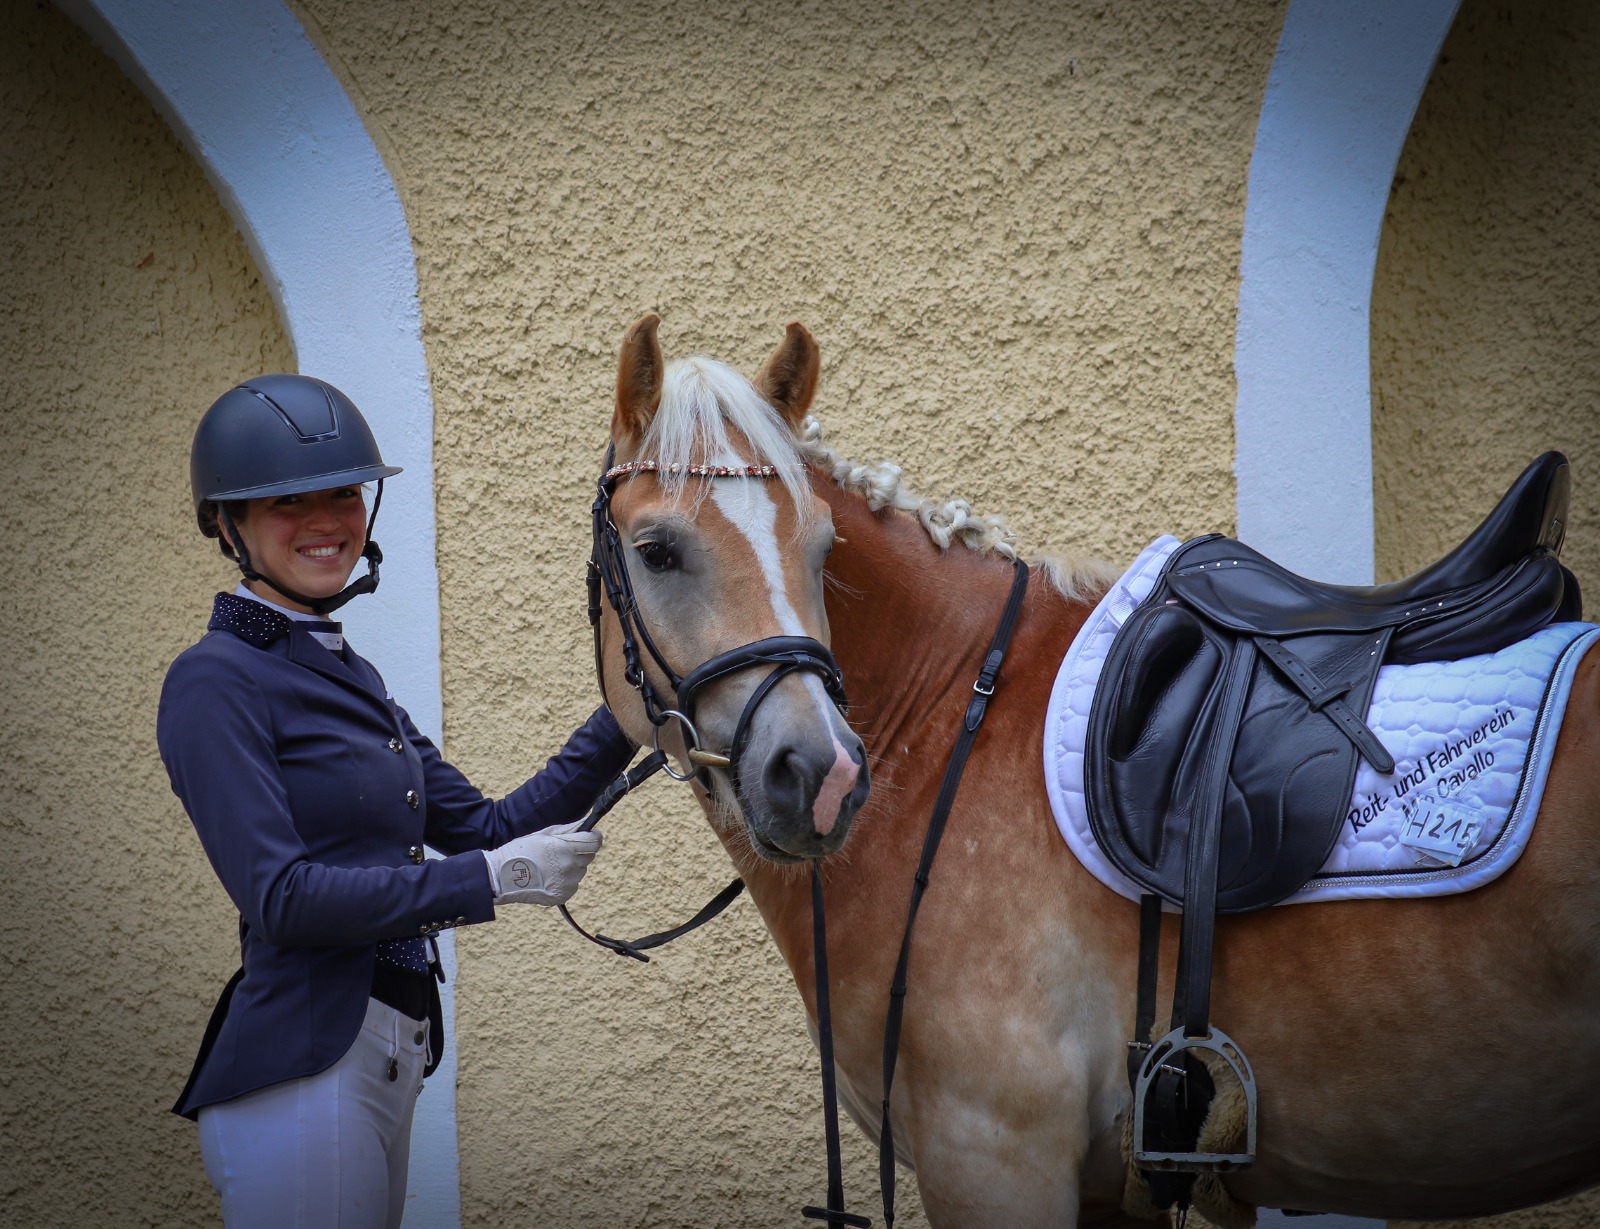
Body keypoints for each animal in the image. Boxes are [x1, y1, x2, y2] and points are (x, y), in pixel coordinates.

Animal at [588, 312, 1600, 1229]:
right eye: (657, 551)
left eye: (822, 549)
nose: (822, 774)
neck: (953, 712)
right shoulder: (1103, 1183)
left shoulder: (995, 1157)